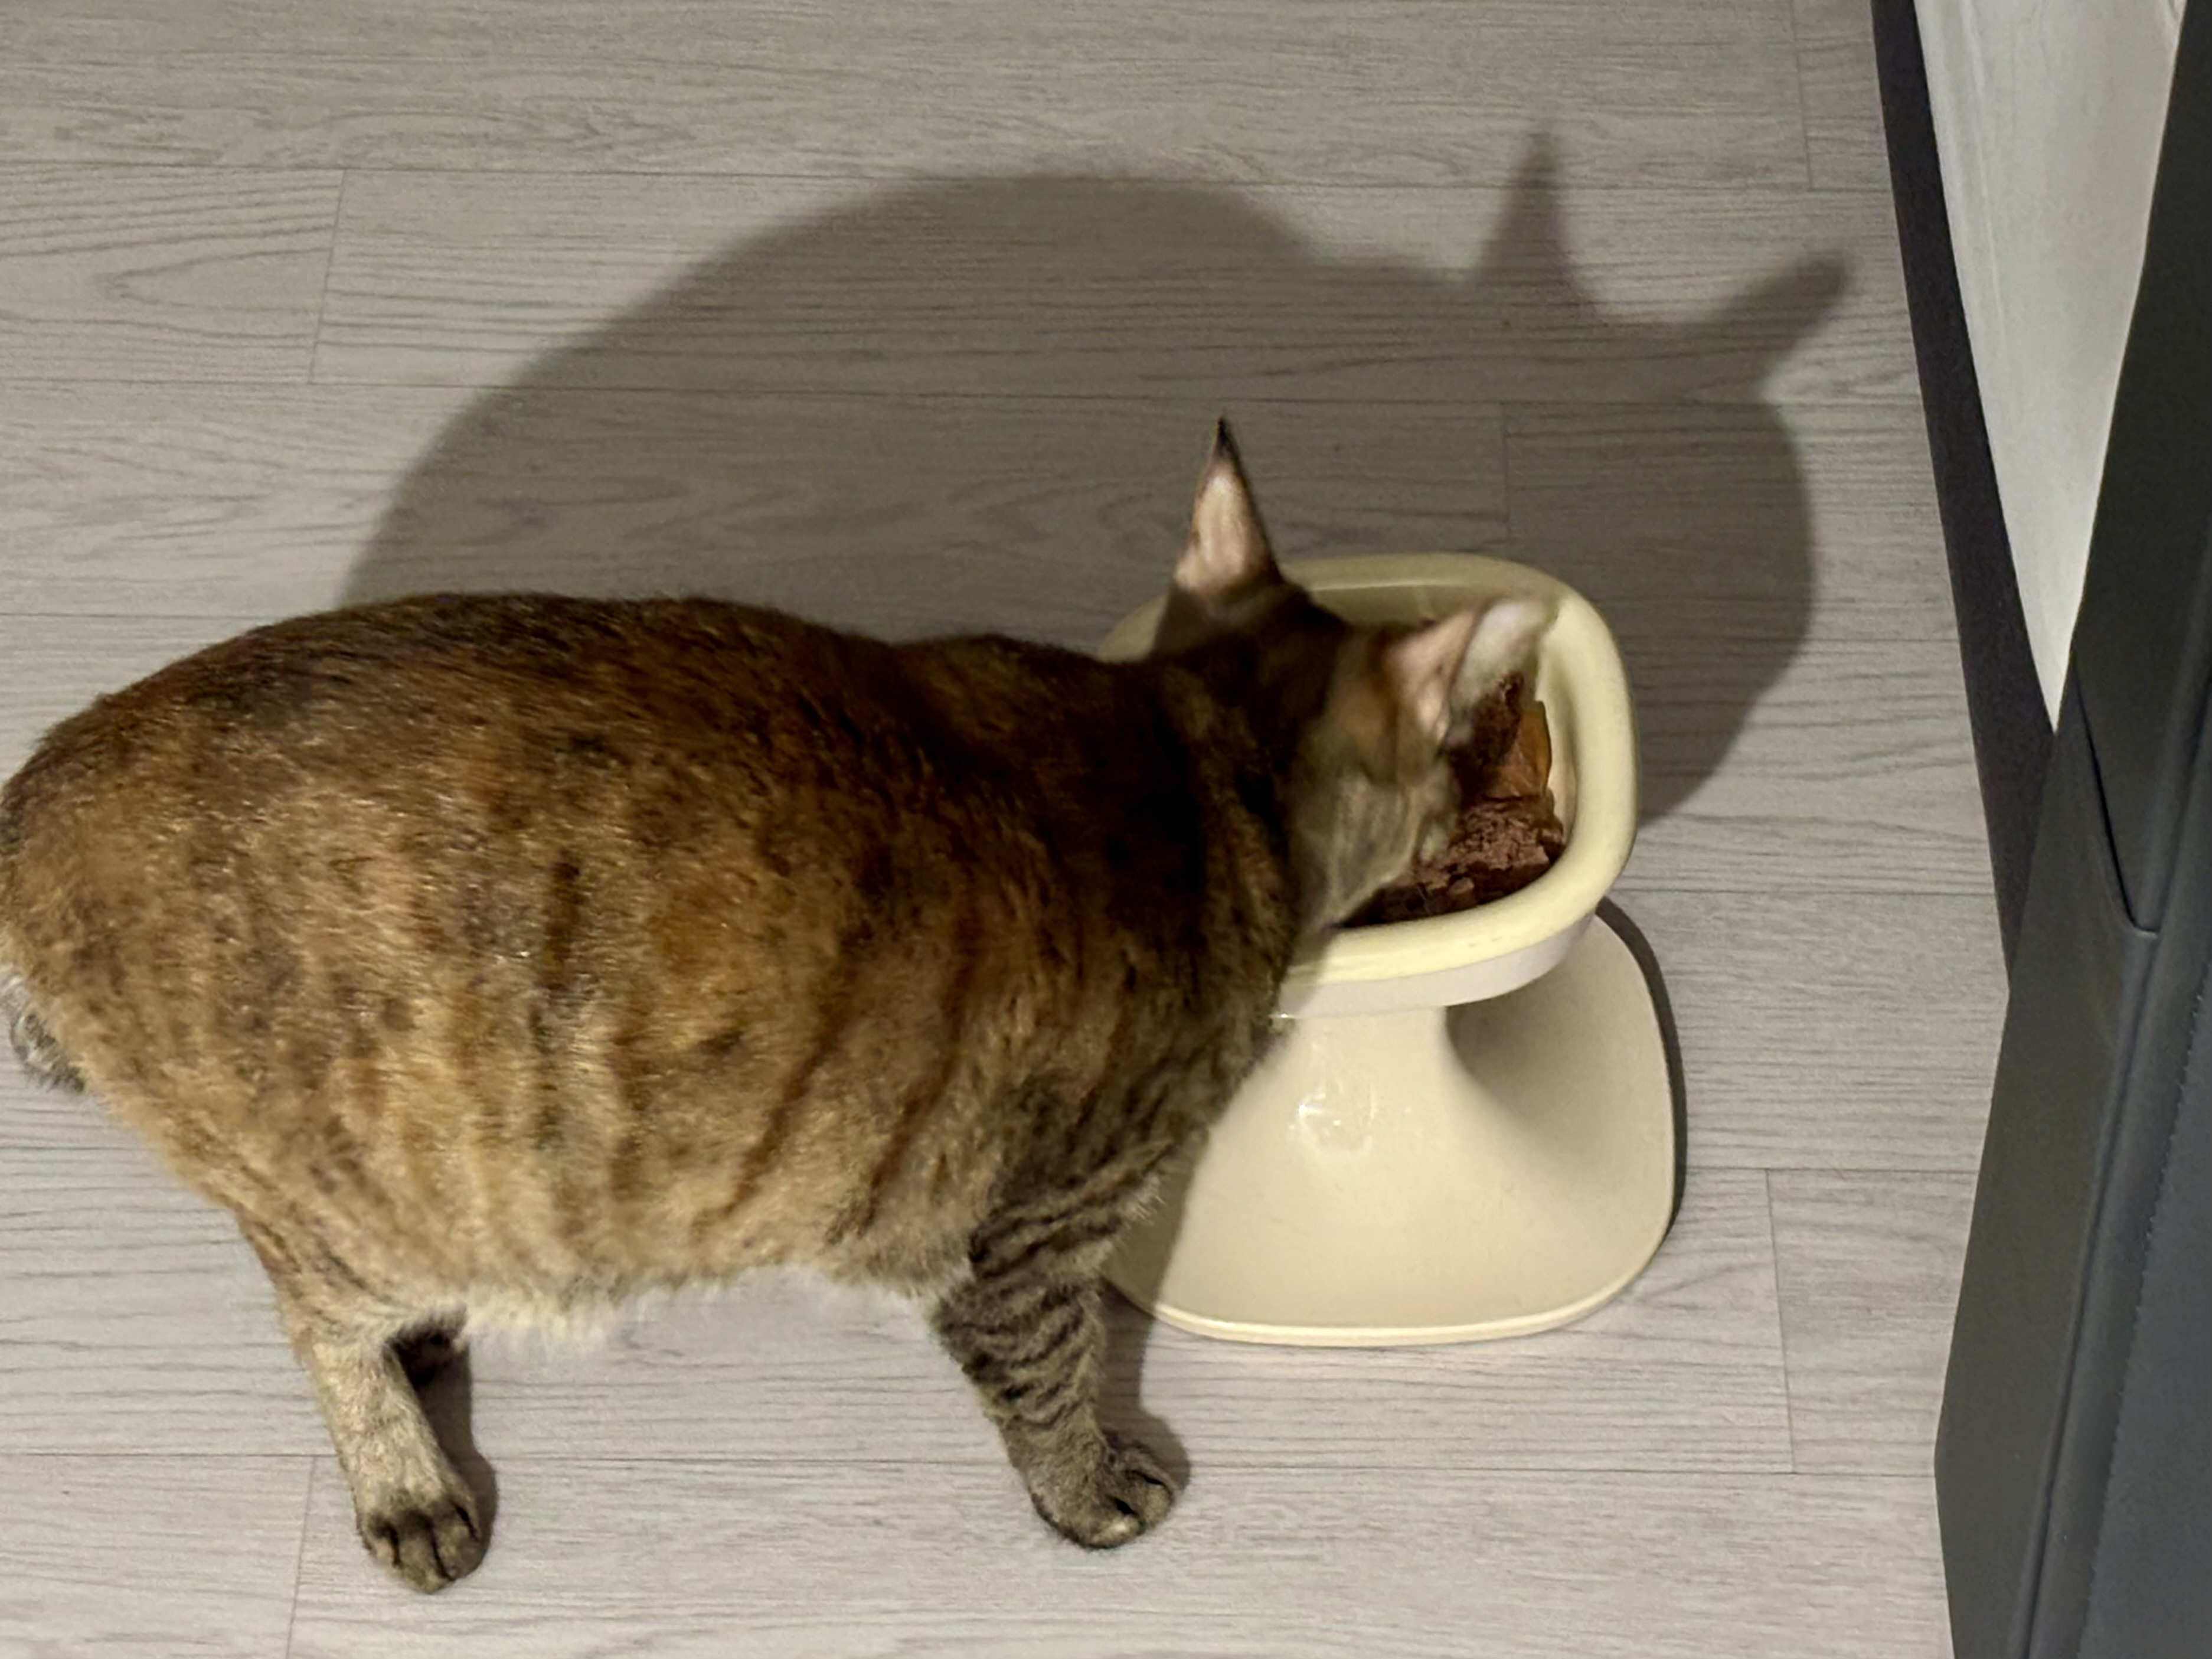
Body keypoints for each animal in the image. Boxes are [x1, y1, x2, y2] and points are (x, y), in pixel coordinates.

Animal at [0, 422, 1546, 1592]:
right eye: (1450, 762)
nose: (1464, 803)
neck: (1200, 760)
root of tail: (42, 781)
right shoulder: (1032, 1236)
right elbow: (1052, 1382)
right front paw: (1094, 1491)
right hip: (346, 1190)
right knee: (311, 1314)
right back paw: (407, 1481)